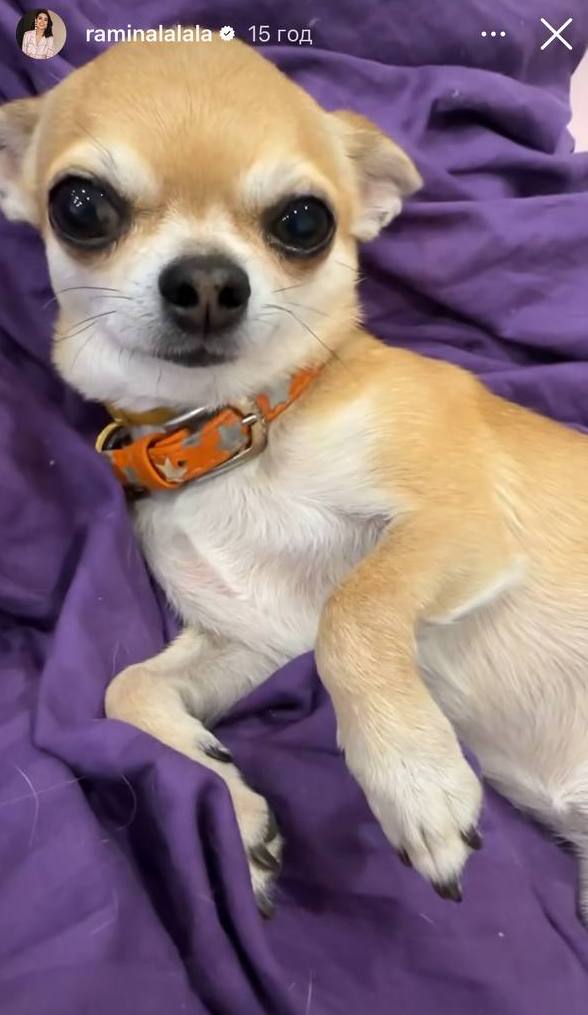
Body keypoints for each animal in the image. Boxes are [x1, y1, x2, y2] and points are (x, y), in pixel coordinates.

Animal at [2, 37, 588, 919]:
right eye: (81, 206)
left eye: (304, 221)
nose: (208, 281)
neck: (246, 429)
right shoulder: (256, 635)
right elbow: (125, 688)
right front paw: (230, 803)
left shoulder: (460, 525)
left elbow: (354, 605)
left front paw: (413, 776)